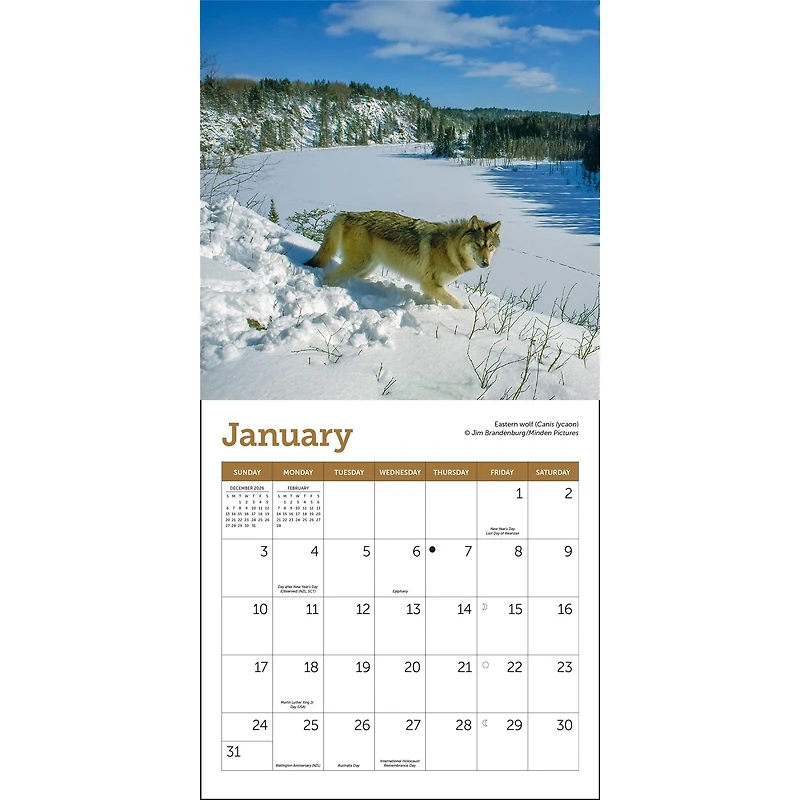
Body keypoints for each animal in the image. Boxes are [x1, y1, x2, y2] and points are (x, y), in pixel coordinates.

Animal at [305, 211, 501, 309]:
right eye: (478, 244)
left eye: (490, 246)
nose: (486, 263)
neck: (450, 248)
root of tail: (347, 213)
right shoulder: (430, 284)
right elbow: (458, 304)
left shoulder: (434, 288)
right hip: (359, 264)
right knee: (329, 278)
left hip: (367, 268)